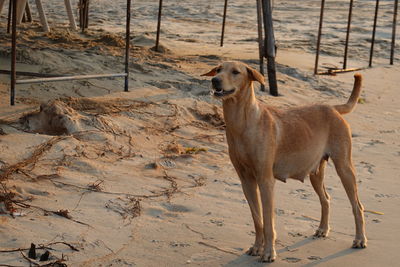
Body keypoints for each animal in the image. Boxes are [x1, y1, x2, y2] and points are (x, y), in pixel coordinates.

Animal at [202, 61, 368, 264]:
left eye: (235, 72)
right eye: (218, 70)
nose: (215, 80)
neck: (242, 122)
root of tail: (333, 108)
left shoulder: (265, 181)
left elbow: (268, 222)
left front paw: (268, 252)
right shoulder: (246, 181)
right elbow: (257, 219)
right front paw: (257, 247)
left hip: (344, 167)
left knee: (357, 206)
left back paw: (360, 239)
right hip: (316, 172)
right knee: (326, 199)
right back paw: (322, 229)